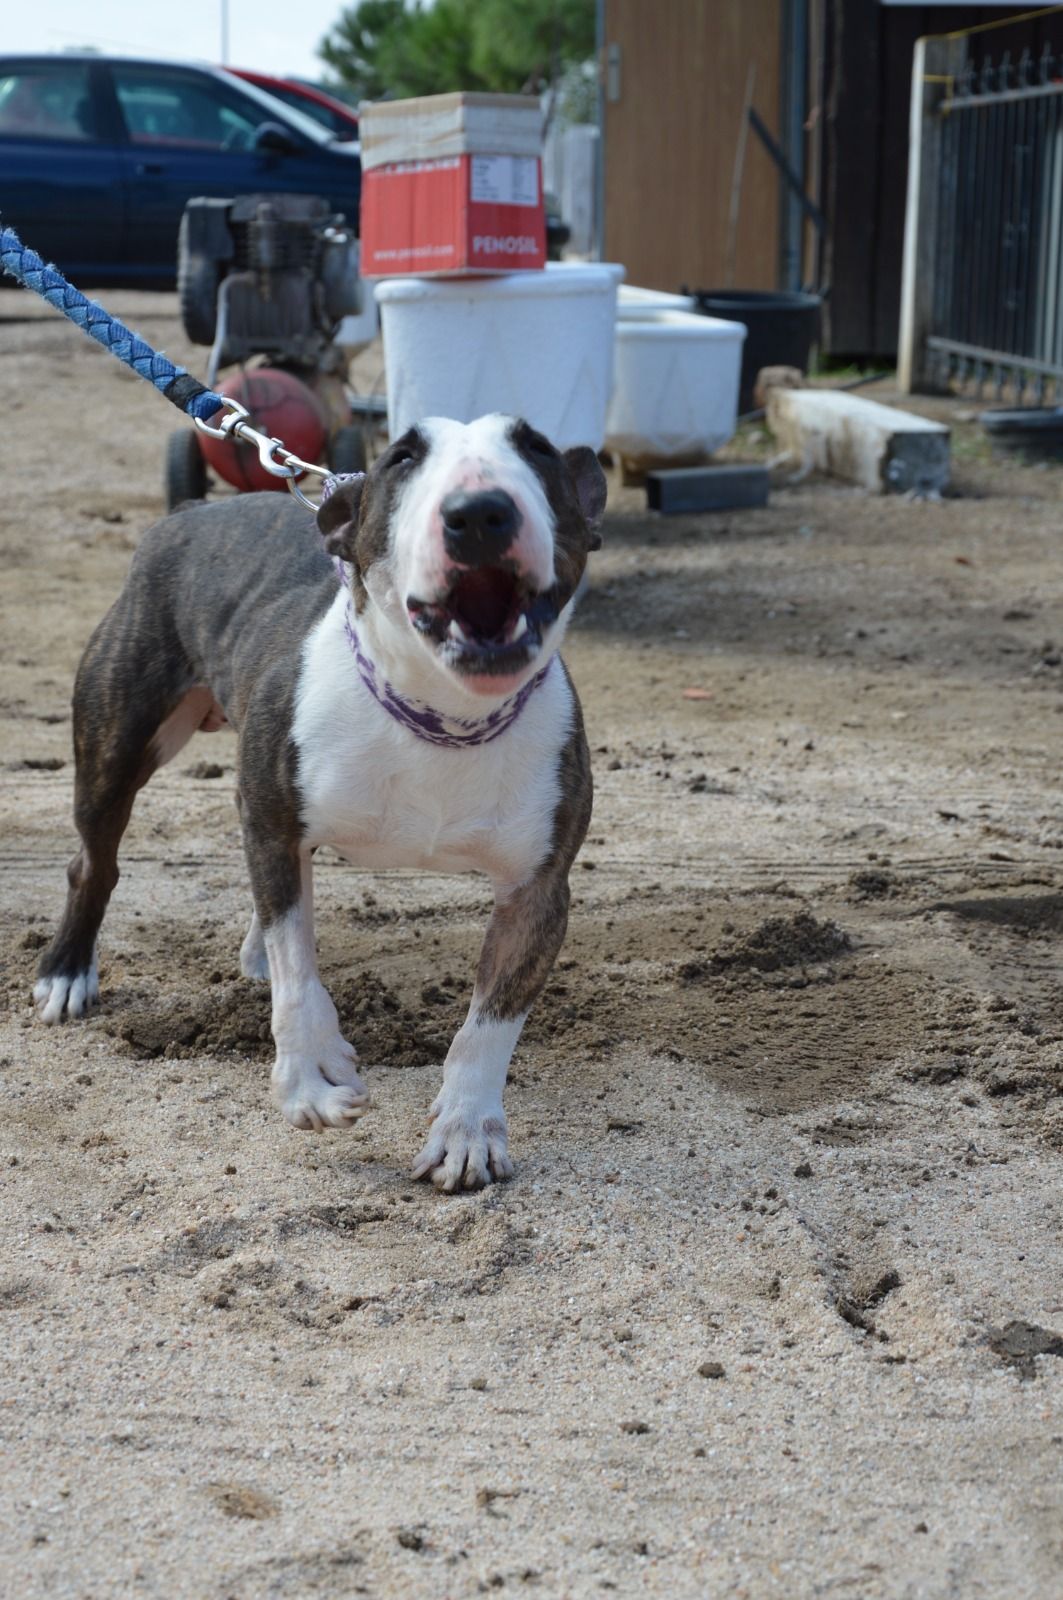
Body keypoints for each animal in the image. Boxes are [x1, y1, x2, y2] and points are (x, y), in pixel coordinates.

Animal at [33, 415, 606, 1190]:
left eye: (537, 449)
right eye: (403, 457)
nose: (480, 511)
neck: (442, 715)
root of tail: (192, 513)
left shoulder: (537, 890)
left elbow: (487, 1026)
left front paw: (466, 1131)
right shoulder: (274, 823)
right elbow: (298, 978)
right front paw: (310, 1081)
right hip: (120, 738)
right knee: (95, 863)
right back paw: (68, 970)